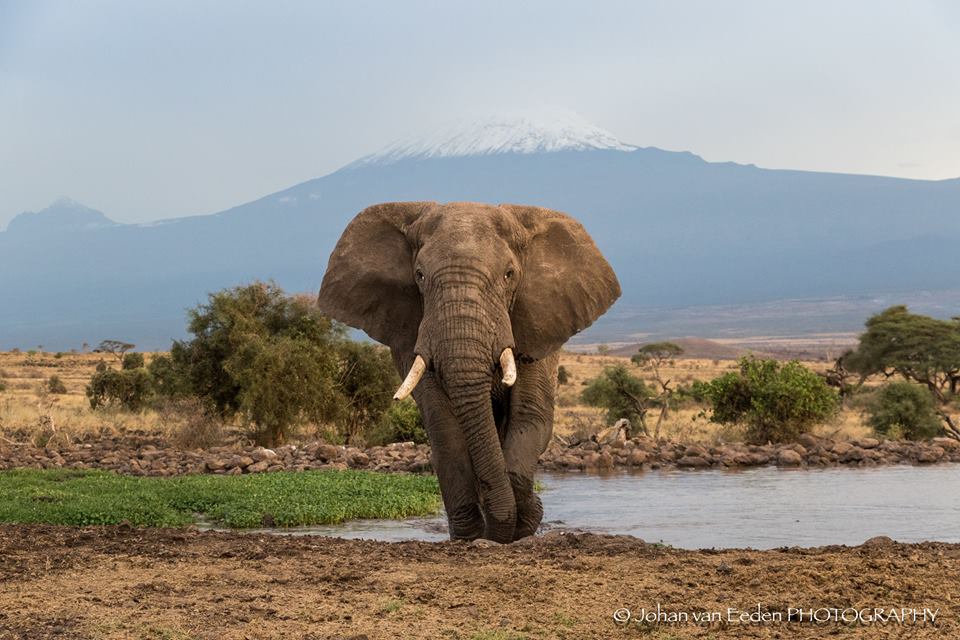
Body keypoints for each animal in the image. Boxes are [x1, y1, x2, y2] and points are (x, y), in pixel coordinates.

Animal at [317, 201, 620, 543]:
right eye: (419, 275)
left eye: (509, 274)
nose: (536, 509)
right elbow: (442, 422)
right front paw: (470, 535)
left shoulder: (538, 321)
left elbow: (530, 414)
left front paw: (525, 522)